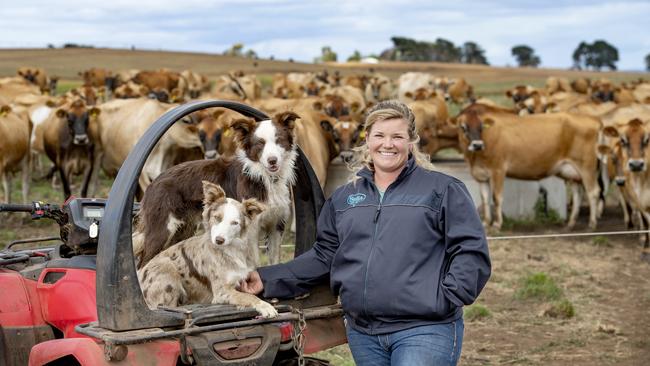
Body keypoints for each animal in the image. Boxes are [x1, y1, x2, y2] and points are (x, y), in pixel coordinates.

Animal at [454, 103, 600, 229]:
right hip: (572, 171)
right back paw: (571, 223)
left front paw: (497, 224)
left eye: (481, 127)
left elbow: (496, 197)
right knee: (577, 194)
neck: (475, 159)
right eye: (463, 127)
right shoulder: (481, 175)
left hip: (587, 167)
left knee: (593, 191)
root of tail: (593, 120)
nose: (477, 145)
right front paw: (485, 223)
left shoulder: (498, 170)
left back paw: (592, 223)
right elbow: (484, 199)